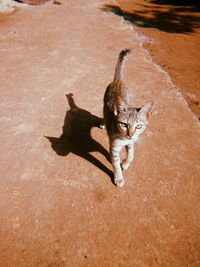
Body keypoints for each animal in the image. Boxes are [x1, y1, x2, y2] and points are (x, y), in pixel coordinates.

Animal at [103, 49, 153, 188]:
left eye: (139, 126)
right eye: (124, 124)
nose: (130, 135)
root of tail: (118, 80)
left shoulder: (131, 142)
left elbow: (131, 153)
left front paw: (125, 163)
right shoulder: (114, 147)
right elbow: (115, 164)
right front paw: (119, 178)